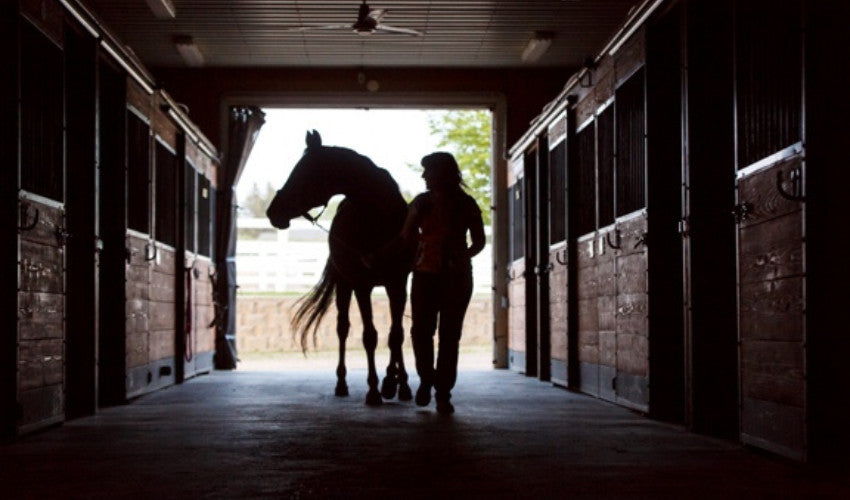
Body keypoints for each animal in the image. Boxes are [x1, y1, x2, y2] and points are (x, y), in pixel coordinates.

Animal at [266, 130, 414, 405]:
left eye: (304, 172)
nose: (273, 212)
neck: (380, 219)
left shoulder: (398, 283)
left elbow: (396, 334)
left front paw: (398, 384)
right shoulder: (362, 285)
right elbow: (370, 336)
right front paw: (374, 390)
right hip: (344, 285)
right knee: (342, 328)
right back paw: (342, 384)